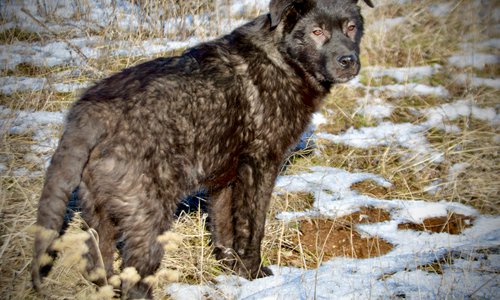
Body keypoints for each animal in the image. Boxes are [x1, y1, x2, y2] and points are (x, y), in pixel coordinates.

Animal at [32, 0, 372, 298]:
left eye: (351, 27)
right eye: (317, 31)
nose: (348, 61)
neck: (283, 58)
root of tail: (89, 114)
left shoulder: (224, 177)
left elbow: (224, 228)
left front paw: (231, 269)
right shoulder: (260, 166)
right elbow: (252, 227)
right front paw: (255, 276)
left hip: (98, 213)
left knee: (98, 265)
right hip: (148, 215)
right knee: (134, 282)